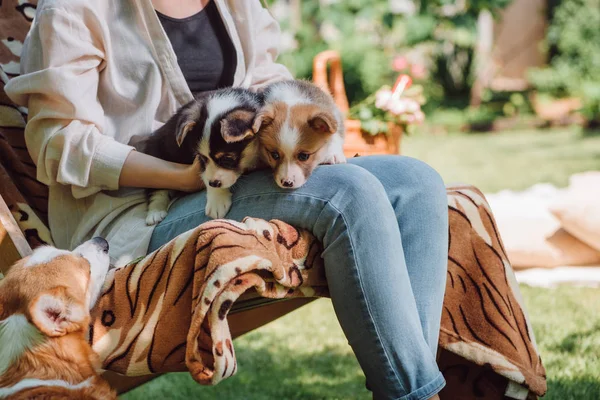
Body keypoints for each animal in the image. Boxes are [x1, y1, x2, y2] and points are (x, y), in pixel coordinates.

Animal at [142, 88, 264, 223]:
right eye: (202, 158)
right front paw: (217, 201)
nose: (213, 184)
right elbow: (205, 174)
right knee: (156, 190)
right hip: (156, 152)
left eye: (227, 159)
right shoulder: (198, 162)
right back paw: (155, 212)